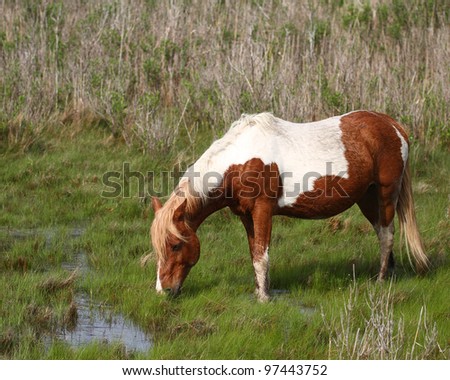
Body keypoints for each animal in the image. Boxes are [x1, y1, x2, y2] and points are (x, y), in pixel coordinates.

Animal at [149, 111, 428, 302]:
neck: (239, 161)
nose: (163, 291)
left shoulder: (263, 211)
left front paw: (264, 298)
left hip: (385, 194)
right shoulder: (245, 215)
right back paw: (388, 273)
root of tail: (393, 125)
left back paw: (380, 281)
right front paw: (259, 291)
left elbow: (262, 256)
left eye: (175, 245)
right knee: (382, 232)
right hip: (367, 199)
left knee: (387, 235)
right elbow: (254, 253)